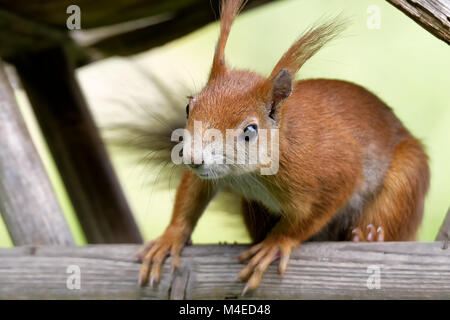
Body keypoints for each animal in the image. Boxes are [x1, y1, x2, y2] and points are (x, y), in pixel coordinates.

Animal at [136, 0, 428, 294]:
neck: (247, 175)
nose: (193, 158)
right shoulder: (210, 174)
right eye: (188, 108)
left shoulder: (334, 170)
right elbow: (191, 195)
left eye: (249, 131)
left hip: (404, 183)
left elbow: (309, 217)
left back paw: (367, 238)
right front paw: (169, 238)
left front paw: (276, 243)